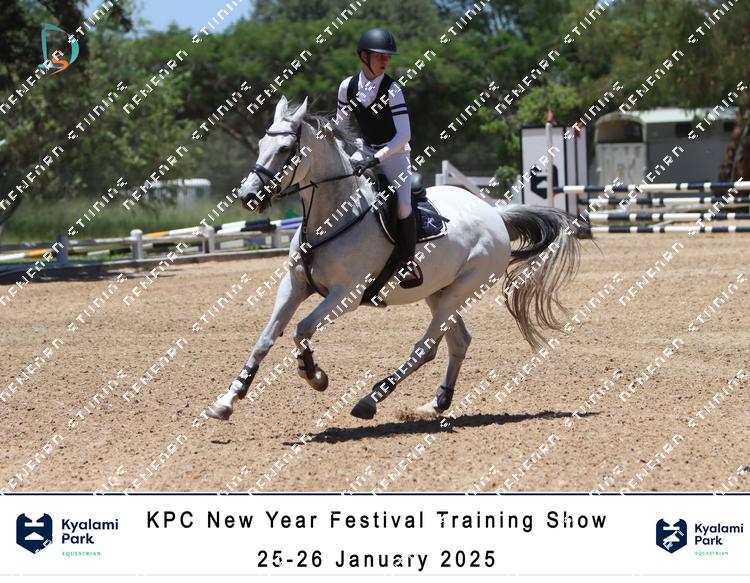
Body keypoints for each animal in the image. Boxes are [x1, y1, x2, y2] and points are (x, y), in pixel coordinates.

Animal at [206, 96, 580, 421]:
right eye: (260, 145)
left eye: (285, 150)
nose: (248, 196)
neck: (334, 218)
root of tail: (497, 216)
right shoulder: (295, 285)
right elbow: (265, 339)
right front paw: (227, 401)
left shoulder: (346, 295)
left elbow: (302, 329)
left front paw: (314, 375)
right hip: (438, 292)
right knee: (457, 341)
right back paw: (437, 402)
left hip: (461, 290)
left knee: (426, 347)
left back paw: (370, 400)